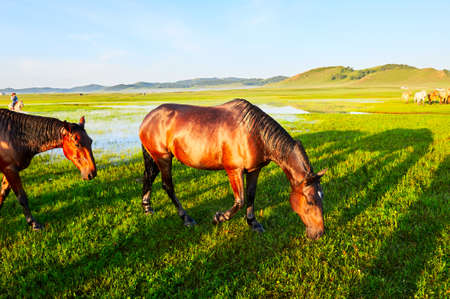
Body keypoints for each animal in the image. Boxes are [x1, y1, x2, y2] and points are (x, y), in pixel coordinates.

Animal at [140, 99, 326, 240]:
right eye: (310, 201)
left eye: (321, 196)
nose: (319, 233)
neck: (254, 133)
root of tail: (148, 118)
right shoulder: (234, 171)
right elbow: (240, 201)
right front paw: (218, 218)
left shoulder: (254, 170)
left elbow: (250, 196)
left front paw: (253, 223)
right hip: (163, 158)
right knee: (167, 186)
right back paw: (186, 218)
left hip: (155, 158)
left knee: (148, 178)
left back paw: (147, 208)